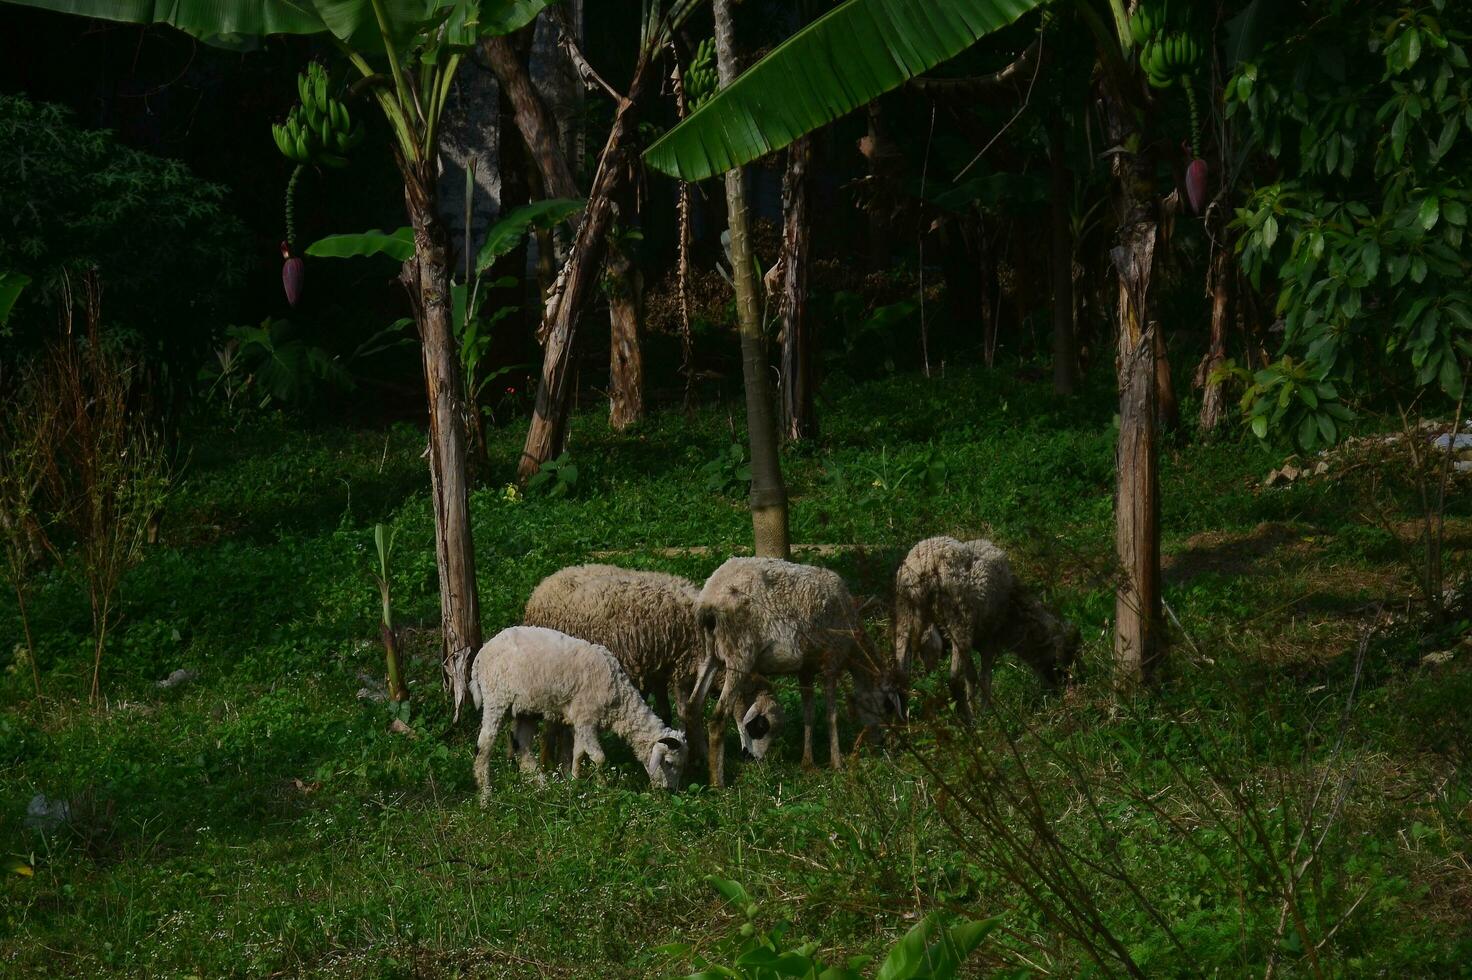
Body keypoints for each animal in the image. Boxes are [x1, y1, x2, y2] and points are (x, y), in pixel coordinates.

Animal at [468, 626, 685, 800]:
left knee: (522, 746)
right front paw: (603, 787)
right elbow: (598, 757)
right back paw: (486, 796)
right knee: (485, 745)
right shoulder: (586, 720)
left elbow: (578, 753)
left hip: (524, 708)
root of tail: (482, 654)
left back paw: (543, 787)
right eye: (668, 762)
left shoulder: (581, 721)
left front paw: (574, 783)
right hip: (496, 699)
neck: (619, 695)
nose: (670, 792)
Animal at [524, 556, 788, 765]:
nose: (757, 761)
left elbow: (665, 711)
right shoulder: (682, 667)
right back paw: (551, 764)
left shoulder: (659, 670)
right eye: (761, 726)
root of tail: (539, 591)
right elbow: (688, 711)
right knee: (552, 721)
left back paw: (562, 759)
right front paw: (700, 755)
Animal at [691, 556, 906, 788]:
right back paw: (717, 782)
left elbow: (808, 713)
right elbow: (831, 715)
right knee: (718, 718)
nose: (880, 743)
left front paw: (808, 762)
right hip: (739, 655)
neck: (853, 646)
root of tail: (710, 598)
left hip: (709, 654)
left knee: (693, 705)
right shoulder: (831, 660)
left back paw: (698, 761)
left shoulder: (806, 669)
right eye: (888, 706)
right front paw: (837, 763)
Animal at [883, 535, 1083, 718]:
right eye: (1065, 657)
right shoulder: (989, 639)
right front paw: (986, 713)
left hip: (906, 614)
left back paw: (905, 720)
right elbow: (985, 677)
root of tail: (924, 568)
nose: (1069, 688)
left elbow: (971, 675)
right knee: (954, 678)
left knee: (902, 673)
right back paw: (968, 721)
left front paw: (977, 707)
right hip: (959, 619)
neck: (1014, 616)